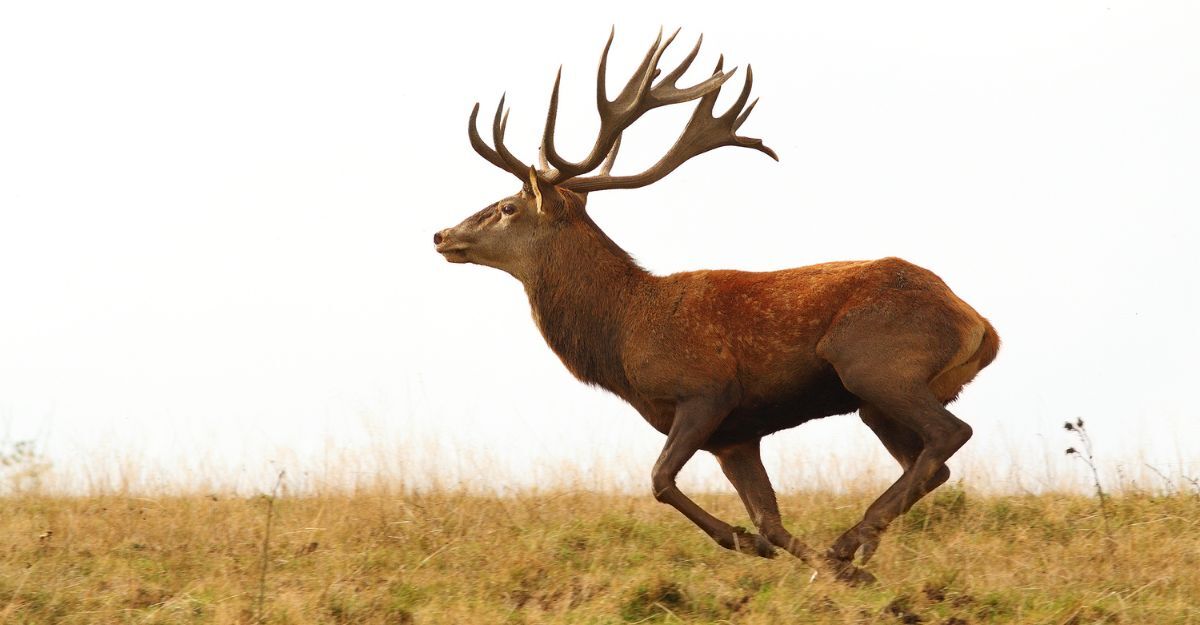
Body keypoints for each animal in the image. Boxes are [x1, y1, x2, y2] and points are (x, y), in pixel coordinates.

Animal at [433, 29, 999, 583]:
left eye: (508, 206)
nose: (441, 235)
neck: (624, 337)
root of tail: (981, 326)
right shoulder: (736, 436)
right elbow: (770, 518)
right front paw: (824, 569)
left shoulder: (706, 391)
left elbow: (660, 479)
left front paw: (753, 544)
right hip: (875, 402)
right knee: (931, 462)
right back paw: (856, 550)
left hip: (875, 365)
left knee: (951, 434)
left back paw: (850, 539)